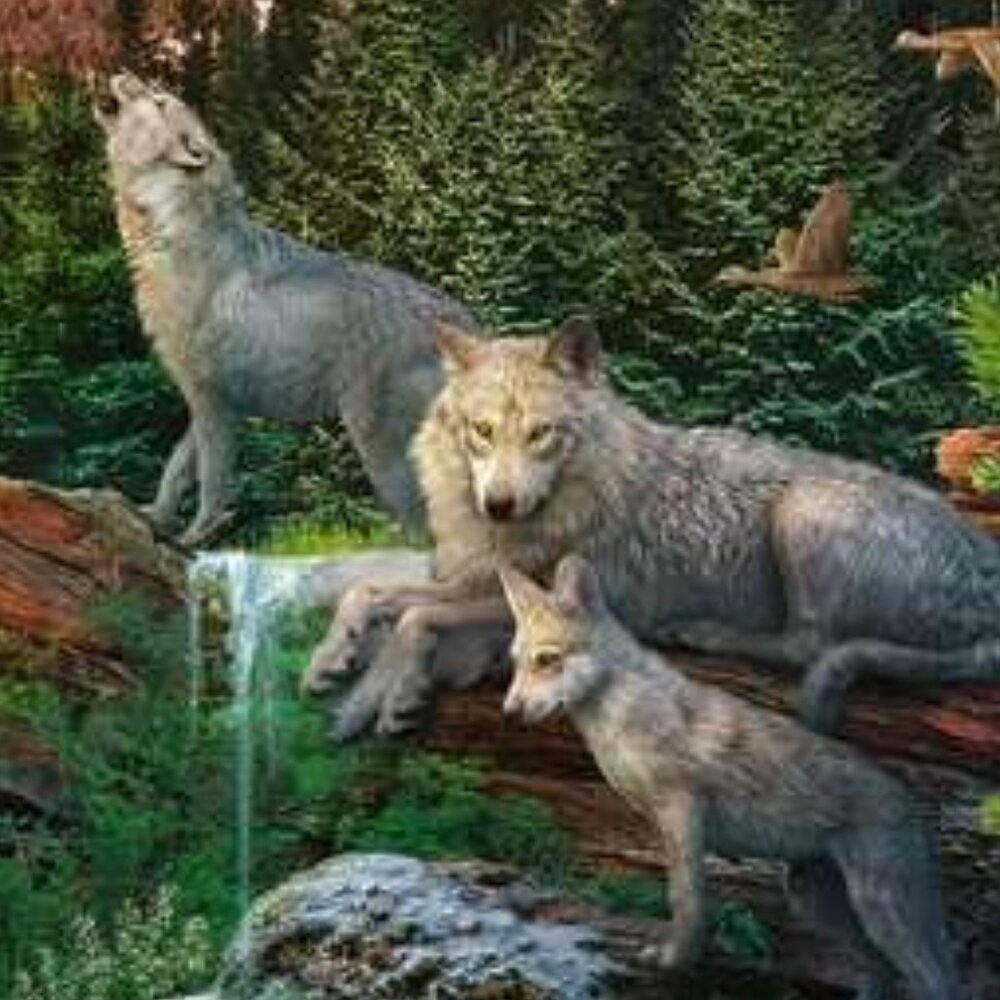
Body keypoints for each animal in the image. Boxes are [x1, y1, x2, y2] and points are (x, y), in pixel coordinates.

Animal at [94, 72, 476, 545]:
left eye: (161, 101)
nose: (125, 74)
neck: (171, 231)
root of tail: (466, 324)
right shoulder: (207, 403)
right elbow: (175, 469)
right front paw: (155, 518)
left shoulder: (211, 400)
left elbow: (211, 484)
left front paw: (192, 540)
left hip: (382, 456)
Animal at [305, 316, 1000, 739]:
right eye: (482, 431)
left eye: (540, 434)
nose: (498, 504)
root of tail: (985, 577)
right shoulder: (474, 576)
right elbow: (374, 594)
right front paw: (340, 666)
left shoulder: (571, 608)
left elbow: (419, 617)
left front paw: (389, 693)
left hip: (804, 508)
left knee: (808, 646)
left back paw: (703, 633)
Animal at [499, 554, 960, 1000]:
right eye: (517, 664)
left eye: (546, 659)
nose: (509, 711)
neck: (623, 716)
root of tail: (906, 797)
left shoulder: (682, 811)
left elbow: (686, 900)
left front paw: (674, 961)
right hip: (812, 900)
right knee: (879, 971)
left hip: (881, 913)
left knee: (936, 982)